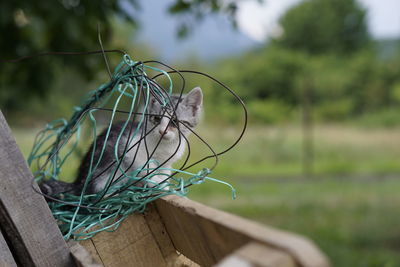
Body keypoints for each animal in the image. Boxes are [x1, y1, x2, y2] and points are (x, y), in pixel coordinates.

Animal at [39, 87, 203, 197]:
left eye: (174, 121)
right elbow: (145, 167)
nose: (162, 131)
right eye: (156, 118)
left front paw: (164, 183)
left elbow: (163, 171)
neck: (166, 145)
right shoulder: (132, 150)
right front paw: (157, 182)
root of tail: (80, 181)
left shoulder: (166, 162)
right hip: (110, 168)